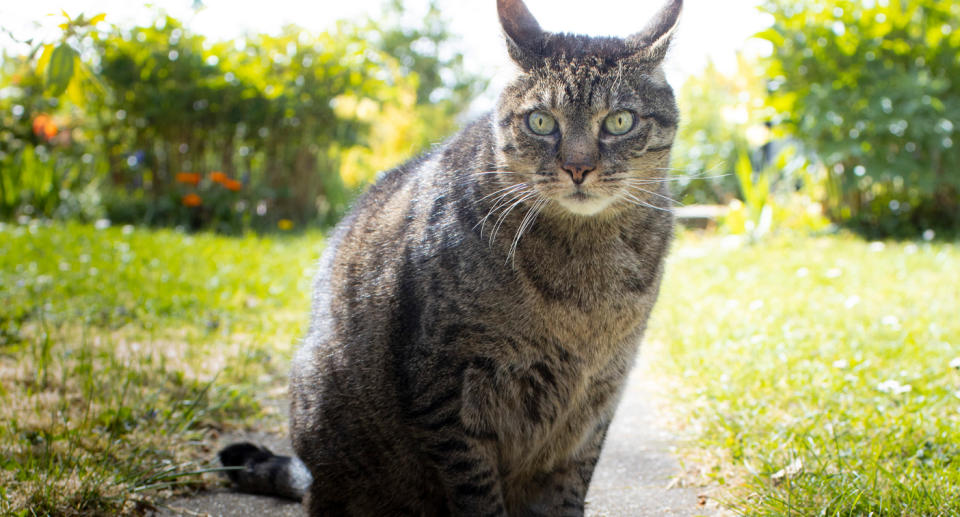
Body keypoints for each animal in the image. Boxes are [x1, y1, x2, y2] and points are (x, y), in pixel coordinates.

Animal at [220, 1, 680, 512]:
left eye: (620, 121)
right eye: (541, 122)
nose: (578, 167)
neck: (586, 275)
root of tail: (312, 477)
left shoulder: (596, 402)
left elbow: (566, 493)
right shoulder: (445, 388)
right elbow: (477, 492)